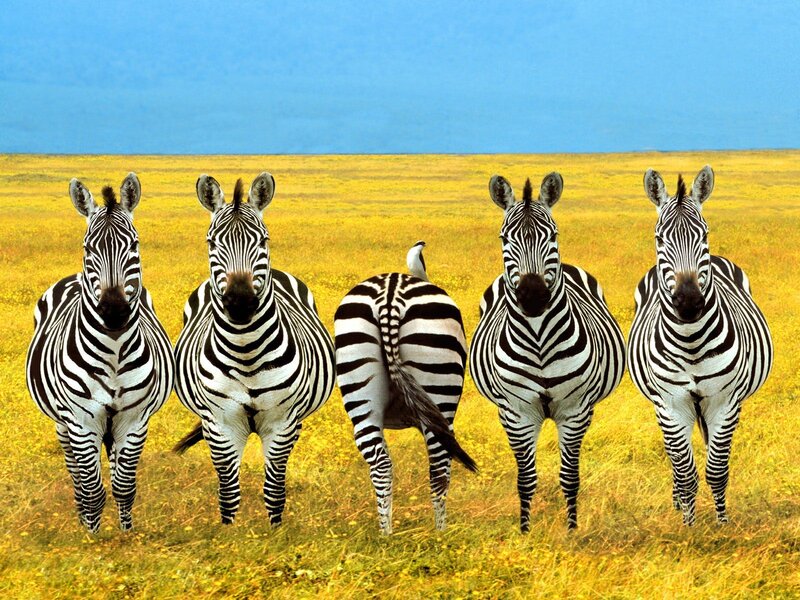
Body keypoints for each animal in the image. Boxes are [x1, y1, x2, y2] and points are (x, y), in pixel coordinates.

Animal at [26, 173, 174, 533]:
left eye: (134, 245)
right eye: (88, 248)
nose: (114, 310)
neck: (114, 352)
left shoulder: (134, 420)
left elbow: (124, 485)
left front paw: (126, 535)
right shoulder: (81, 420)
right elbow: (92, 489)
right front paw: (91, 537)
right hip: (63, 424)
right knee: (76, 475)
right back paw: (82, 517)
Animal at [172, 173, 335, 526]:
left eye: (263, 240)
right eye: (211, 243)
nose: (241, 302)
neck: (246, 353)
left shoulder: (282, 423)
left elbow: (274, 488)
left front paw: (275, 532)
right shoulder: (220, 423)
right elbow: (228, 491)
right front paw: (229, 533)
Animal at [334, 241, 477, 534]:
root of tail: (390, 293)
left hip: (359, 386)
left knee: (381, 465)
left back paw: (386, 535)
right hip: (440, 389)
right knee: (439, 467)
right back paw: (440, 534)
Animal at [469, 173, 625, 531]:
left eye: (553, 235)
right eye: (504, 238)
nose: (533, 295)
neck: (539, 340)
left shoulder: (575, 410)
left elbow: (569, 476)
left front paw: (571, 530)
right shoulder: (517, 413)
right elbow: (526, 479)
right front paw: (525, 530)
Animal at [628, 165, 773, 526]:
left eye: (704, 235)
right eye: (659, 238)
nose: (690, 301)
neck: (691, 340)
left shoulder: (725, 401)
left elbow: (716, 470)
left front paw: (721, 525)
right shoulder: (671, 403)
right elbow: (685, 472)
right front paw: (688, 526)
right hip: (662, 406)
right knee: (674, 458)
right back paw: (678, 503)